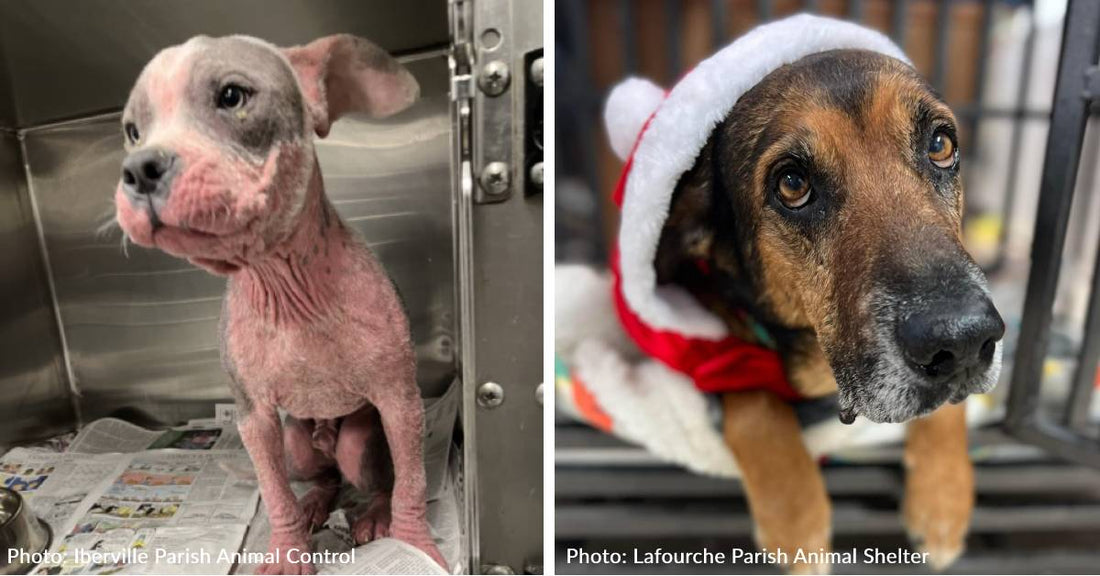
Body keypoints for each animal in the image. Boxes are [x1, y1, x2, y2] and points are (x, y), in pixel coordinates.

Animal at [112, 34, 446, 571]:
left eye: (232, 96)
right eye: (132, 131)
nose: (139, 168)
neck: (286, 285)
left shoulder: (401, 400)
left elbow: (411, 481)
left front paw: (414, 545)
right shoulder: (255, 419)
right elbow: (274, 494)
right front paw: (289, 552)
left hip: (360, 440)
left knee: (377, 477)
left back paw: (375, 515)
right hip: (297, 442)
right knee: (323, 477)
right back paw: (314, 505)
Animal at [651, 49, 1007, 571]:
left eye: (940, 144)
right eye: (792, 184)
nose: (962, 341)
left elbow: (947, 410)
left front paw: (943, 497)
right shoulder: (713, 353)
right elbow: (758, 404)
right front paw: (798, 522)